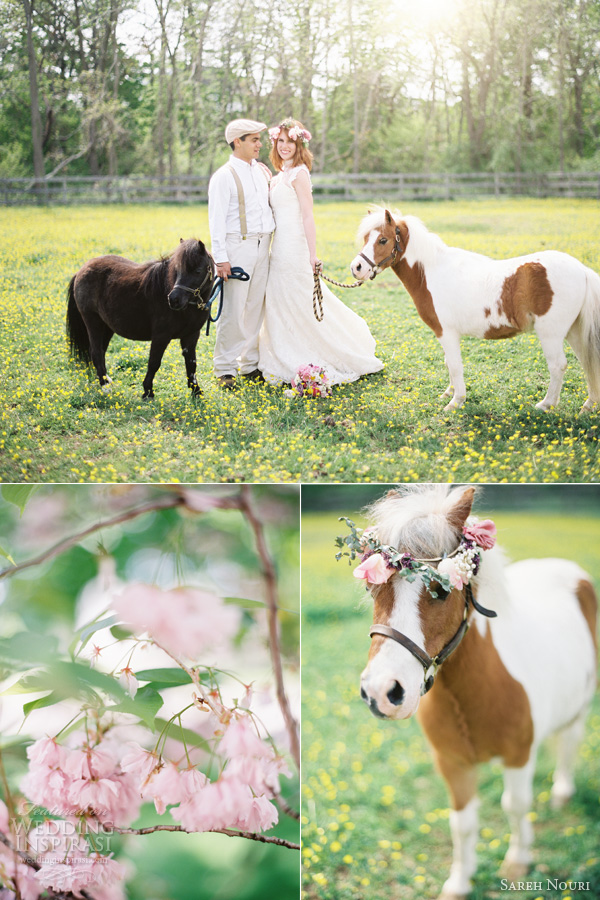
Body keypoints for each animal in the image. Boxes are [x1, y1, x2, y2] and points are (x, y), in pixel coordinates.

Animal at [65, 237, 214, 400]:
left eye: (197, 271)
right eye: (177, 270)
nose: (174, 300)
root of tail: (81, 270)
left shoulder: (191, 336)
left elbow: (191, 363)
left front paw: (196, 391)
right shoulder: (161, 336)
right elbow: (154, 362)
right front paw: (148, 392)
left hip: (106, 327)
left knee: (101, 352)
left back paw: (106, 381)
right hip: (93, 322)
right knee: (96, 352)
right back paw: (105, 387)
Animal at [350, 211, 600, 412]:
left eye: (383, 239)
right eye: (366, 238)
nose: (356, 268)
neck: (432, 272)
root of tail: (581, 269)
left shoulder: (446, 333)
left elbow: (455, 365)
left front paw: (455, 402)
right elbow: (449, 363)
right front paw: (449, 394)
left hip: (551, 334)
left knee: (558, 366)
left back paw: (546, 404)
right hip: (574, 332)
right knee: (587, 363)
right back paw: (588, 406)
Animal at [358, 488, 596, 896]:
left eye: (441, 590)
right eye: (372, 587)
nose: (382, 692)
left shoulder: (518, 756)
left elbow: (515, 804)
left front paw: (517, 862)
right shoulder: (453, 763)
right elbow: (463, 824)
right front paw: (459, 881)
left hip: (581, 705)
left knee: (570, 740)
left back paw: (562, 792)